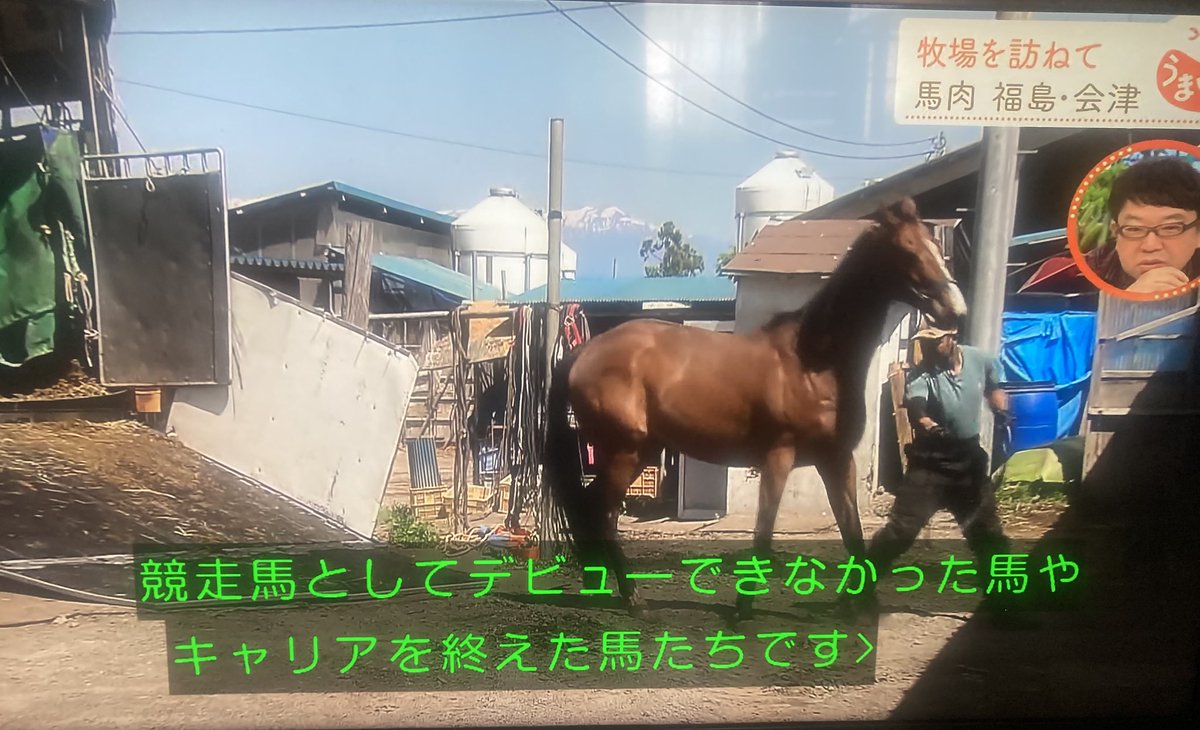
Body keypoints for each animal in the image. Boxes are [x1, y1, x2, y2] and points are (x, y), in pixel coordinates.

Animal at [541, 197, 967, 619]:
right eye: (908, 249)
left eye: (935, 245)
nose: (957, 310)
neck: (814, 363)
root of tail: (583, 353)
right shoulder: (779, 456)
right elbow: (763, 533)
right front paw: (743, 607)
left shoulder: (836, 458)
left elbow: (853, 531)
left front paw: (859, 602)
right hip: (625, 451)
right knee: (602, 511)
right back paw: (631, 597)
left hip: (640, 450)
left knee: (594, 508)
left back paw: (600, 584)